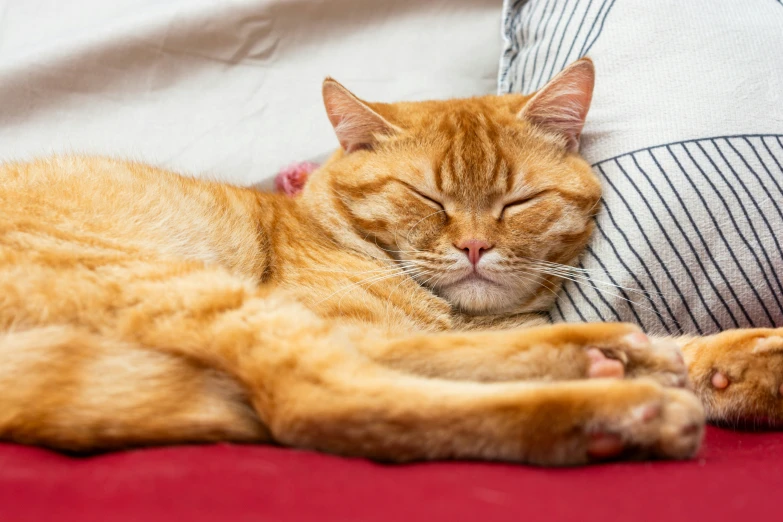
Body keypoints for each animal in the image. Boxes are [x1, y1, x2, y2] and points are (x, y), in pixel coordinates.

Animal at [1, 59, 783, 462]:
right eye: (427, 198)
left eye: (518, 201)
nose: (475, 246)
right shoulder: (342, 315)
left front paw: (742, 366)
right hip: (178, 283)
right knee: (316, 399)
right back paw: (613, 402)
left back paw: (613, 364)